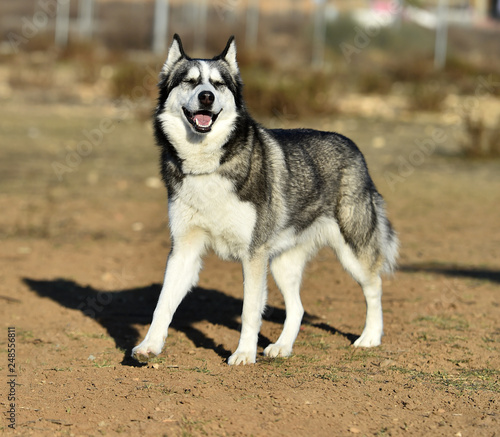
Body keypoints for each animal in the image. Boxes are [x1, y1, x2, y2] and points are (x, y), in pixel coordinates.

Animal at [133, 34, 398, 364]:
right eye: (190, 81)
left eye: (218, 84)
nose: (206, 97)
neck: (208, 165)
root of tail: (353, 146)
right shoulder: (184, 249)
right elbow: (163, 304)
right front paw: (149, 345)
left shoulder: (253, 255)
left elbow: (250, 311)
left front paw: (244, 354)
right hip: (282, 264)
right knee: (298, 308)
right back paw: (282, 347)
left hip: (353, 251)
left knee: (375, 287)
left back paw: (370, 337)